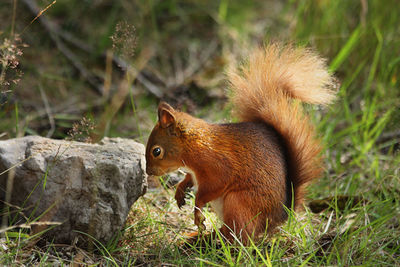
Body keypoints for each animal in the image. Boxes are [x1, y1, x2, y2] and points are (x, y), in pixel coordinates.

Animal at [145, 43, 336, 243]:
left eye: (156, 151)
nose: (148, 172)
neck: (193, 145)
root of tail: (279, 216)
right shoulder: (195, 172)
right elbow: (189, 179)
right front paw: (180, 191)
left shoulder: (217, 165)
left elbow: (212, 187)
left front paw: (197, 210)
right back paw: (199, 237)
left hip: (238, 203)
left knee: (240, 236)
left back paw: (209, 239)